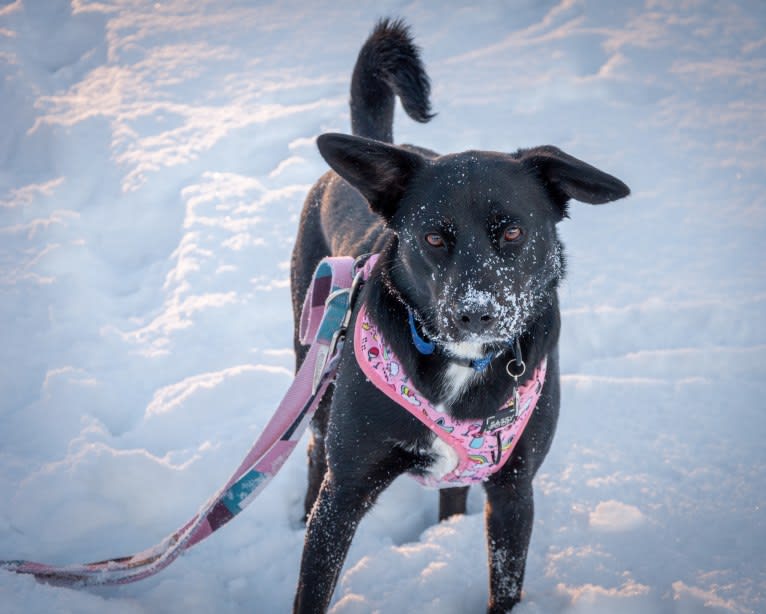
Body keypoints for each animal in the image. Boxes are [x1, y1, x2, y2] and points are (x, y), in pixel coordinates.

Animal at [288, 16, 632, 612]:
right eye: (432, 237)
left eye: (512, 232)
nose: (477, 315)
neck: (460, 363)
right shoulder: (347, 491)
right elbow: (314, 585)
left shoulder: (515, 488)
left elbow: (506, 586)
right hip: (313, 364)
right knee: (313, 452)